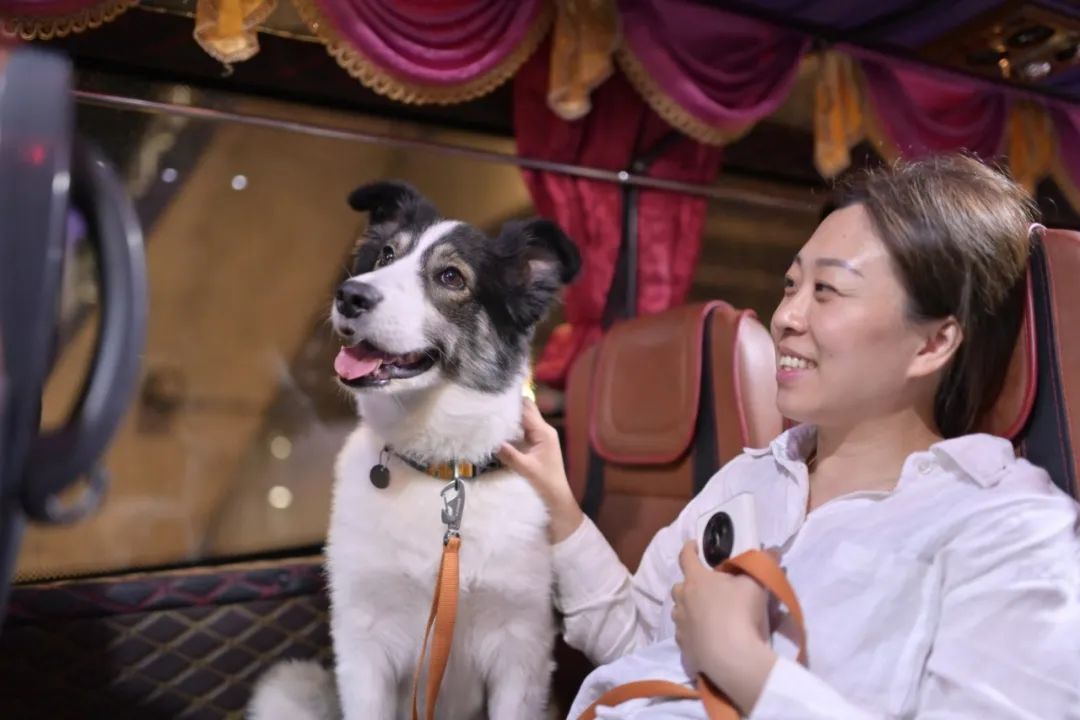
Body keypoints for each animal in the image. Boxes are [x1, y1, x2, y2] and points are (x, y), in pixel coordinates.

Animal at [248, 181, 581, 720]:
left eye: (450, 276)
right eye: (386, 255)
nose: (350, 295)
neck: (441, 469)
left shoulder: (521, 649)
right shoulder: (363, 646)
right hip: (290, 686)